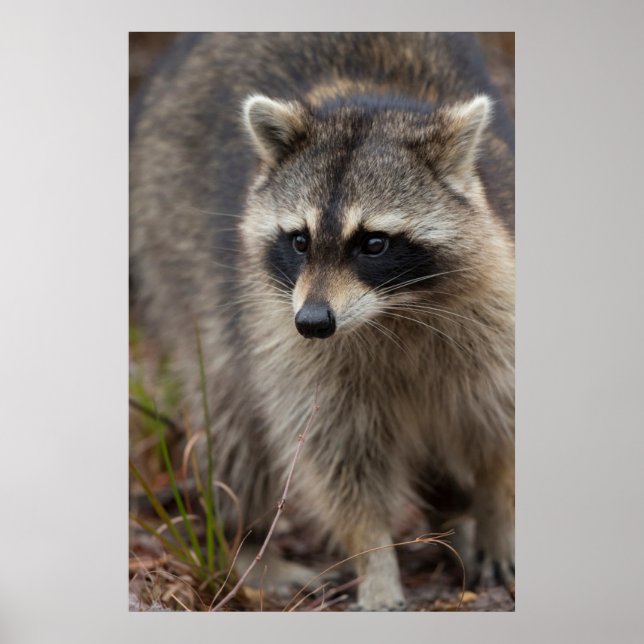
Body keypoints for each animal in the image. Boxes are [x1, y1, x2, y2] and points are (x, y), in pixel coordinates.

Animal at [130, 32, 515, 611]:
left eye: (373, 243)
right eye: (300, 241)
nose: (313, 323)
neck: (392, 311)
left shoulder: (494, 309)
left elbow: (496, 427)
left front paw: (495, 509)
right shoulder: (286, 339)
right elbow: (340, 463)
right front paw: (375, 559)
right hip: (176, 250)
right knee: (231, 415)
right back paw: (247, 544)